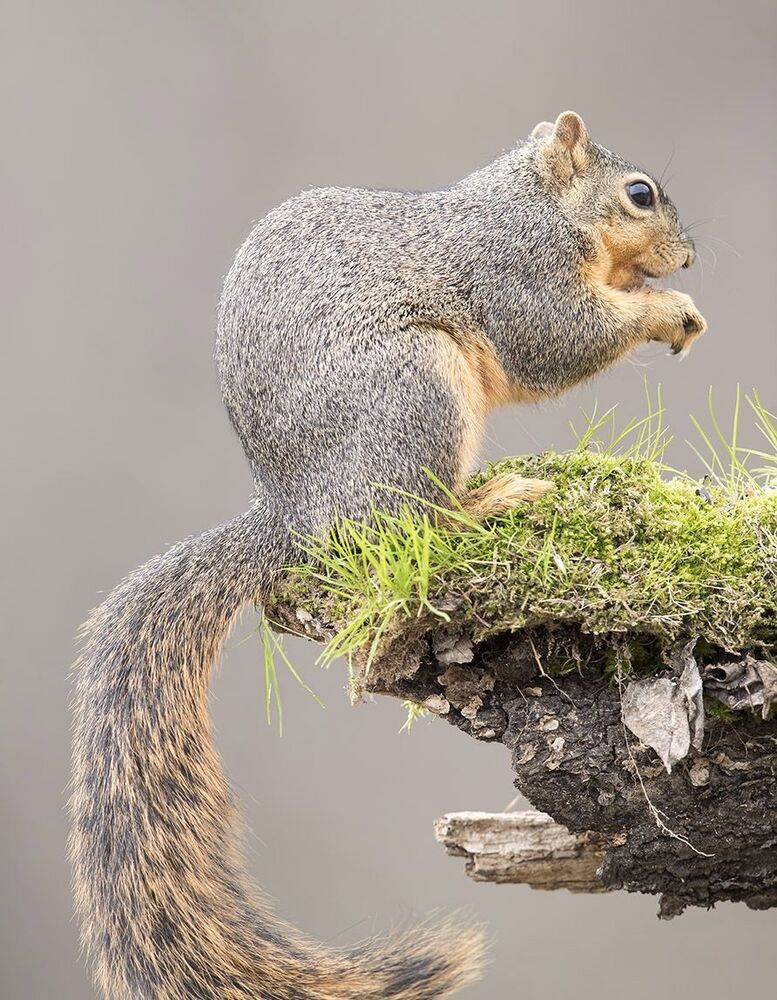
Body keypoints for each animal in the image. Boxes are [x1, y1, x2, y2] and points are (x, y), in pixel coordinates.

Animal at [70, 111, 705, 1000]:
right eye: (639, 192)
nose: (688, 258)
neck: (533, 204)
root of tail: (294, 514)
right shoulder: (516, 271)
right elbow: (555, 340)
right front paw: (666, 310)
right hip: (413, 390)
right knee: (410, 521)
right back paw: (489, 501)